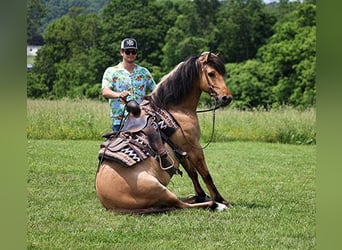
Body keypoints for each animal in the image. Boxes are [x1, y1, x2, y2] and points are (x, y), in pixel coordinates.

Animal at [97, 51, 235, 214]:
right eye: (211, 73)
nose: (226, 98)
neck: (176, 109)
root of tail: (110, 204)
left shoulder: (181, 151)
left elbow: (193, 173)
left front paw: (201, 195)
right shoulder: (194, 147)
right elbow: (206, 174)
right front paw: (221, 200)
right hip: (159, 189)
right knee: (181, 205)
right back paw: (216, 205)